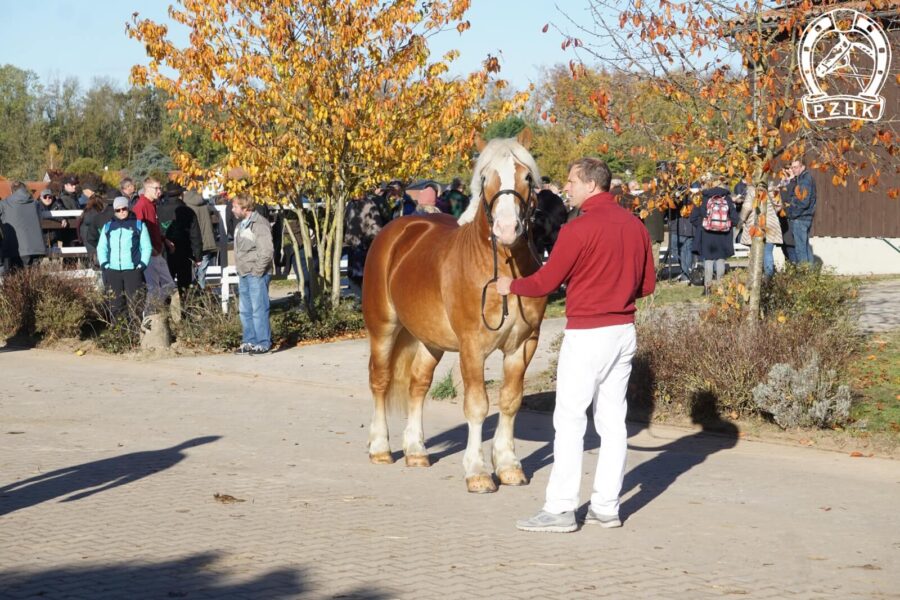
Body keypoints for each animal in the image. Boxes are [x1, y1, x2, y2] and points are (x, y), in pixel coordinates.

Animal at [360, 131, 548, 492]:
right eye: (486, 177)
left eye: (527, 177)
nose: (507, 228)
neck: (501, 269)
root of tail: (396, 231)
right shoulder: (471, 347)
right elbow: (477, 405)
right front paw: (477, 471)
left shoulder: (522, 345)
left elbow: (510, 400)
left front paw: (508, 465)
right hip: (383, 328)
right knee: (380, 380)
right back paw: (380, 448)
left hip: (429, 340)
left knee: (418, 384)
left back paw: (416, 451)